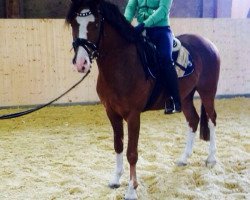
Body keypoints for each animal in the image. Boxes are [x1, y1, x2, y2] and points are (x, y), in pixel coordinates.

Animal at [66, 0, 219, 198]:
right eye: (73, 24)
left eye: (96, 24)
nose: (81, 63)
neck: (122, 64)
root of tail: (208, 43)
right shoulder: (111, 113)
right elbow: (118, 145)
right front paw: (115, 179)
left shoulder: (133, 115)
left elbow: (132, 152)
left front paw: (132, 190)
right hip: (185, 97)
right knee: (193, 120)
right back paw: (184, 159)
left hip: (208, 91)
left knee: (212, 119)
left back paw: (211, 158)